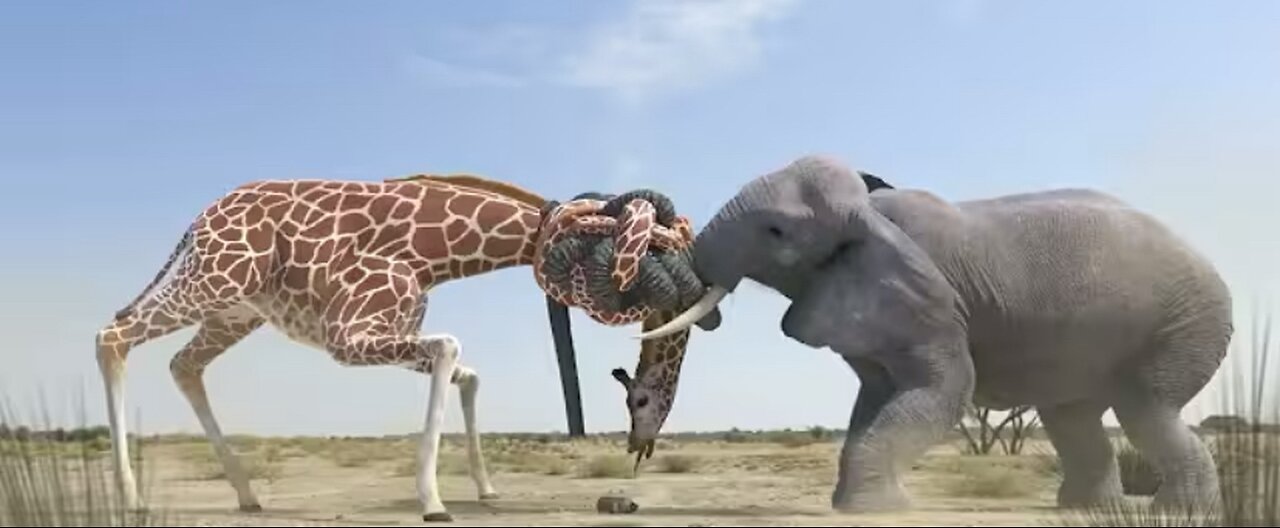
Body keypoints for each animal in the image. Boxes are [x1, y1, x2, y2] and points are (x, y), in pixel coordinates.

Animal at [94, 173, 696, 522]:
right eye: (645, 248)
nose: (644, 428)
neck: (434, 251)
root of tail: (200, 220)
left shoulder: (382, 329)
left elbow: (467, 372)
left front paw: (485, 491)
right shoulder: (347, 335)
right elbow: (452, 348)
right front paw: (433, 503)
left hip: (235, 312)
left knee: (182, 364)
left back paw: (248, 495)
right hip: (213, 282)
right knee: (112, 336)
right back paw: (131, 497)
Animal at [637, 155, 1232, 513]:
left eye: (776, 231)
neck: (870, 210)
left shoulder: (929, 299)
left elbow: (943, 390)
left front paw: (875, 512)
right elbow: (874, 396)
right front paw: (857, 507)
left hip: (1186, 323)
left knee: (1145, 409)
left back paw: (1177, 513)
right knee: (1072, 416)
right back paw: (1088, 510)